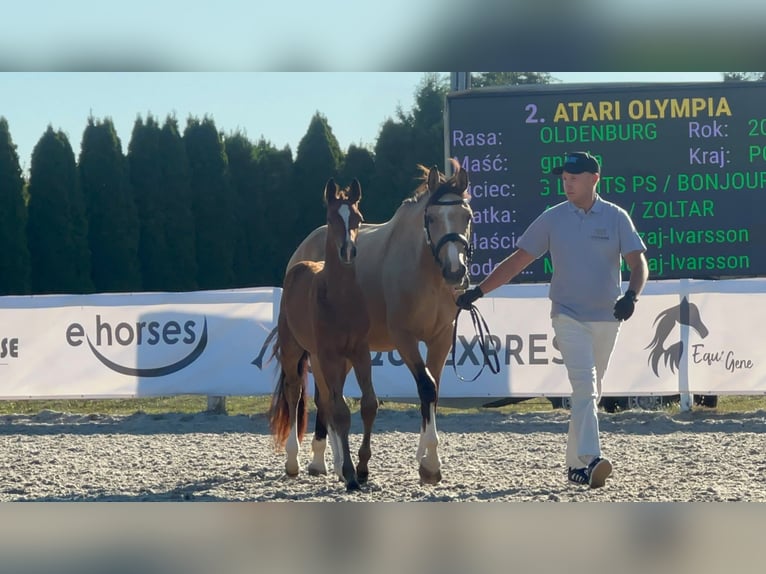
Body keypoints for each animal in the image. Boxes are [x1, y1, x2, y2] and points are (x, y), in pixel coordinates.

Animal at [269, 177, 376, 491]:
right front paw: (352, 474)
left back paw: (336, 467)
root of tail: (299, 267)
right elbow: (340, 412)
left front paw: (360, 469)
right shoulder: (329, 354)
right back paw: (293, 462)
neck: (340, 299)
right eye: (331, 219)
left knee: (326, 400)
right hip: (296, 351)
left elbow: (368, 404)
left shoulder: (360, 352)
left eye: (358, 218)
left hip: (325, 359)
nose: (348, 251)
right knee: (295, 393)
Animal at [287, 159, 473, 484]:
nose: (455, 271)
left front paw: (426, 460)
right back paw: (308, 460)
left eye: (467, 216)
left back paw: (334, 465)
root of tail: (303, 249)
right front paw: (430, 465)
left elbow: (433, 390)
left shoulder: (440, 338)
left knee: (326, 397)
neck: (425, 274)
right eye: (432, 218)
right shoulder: (404, 338)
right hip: (309, 347)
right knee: (305, 394)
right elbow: (426, 386)